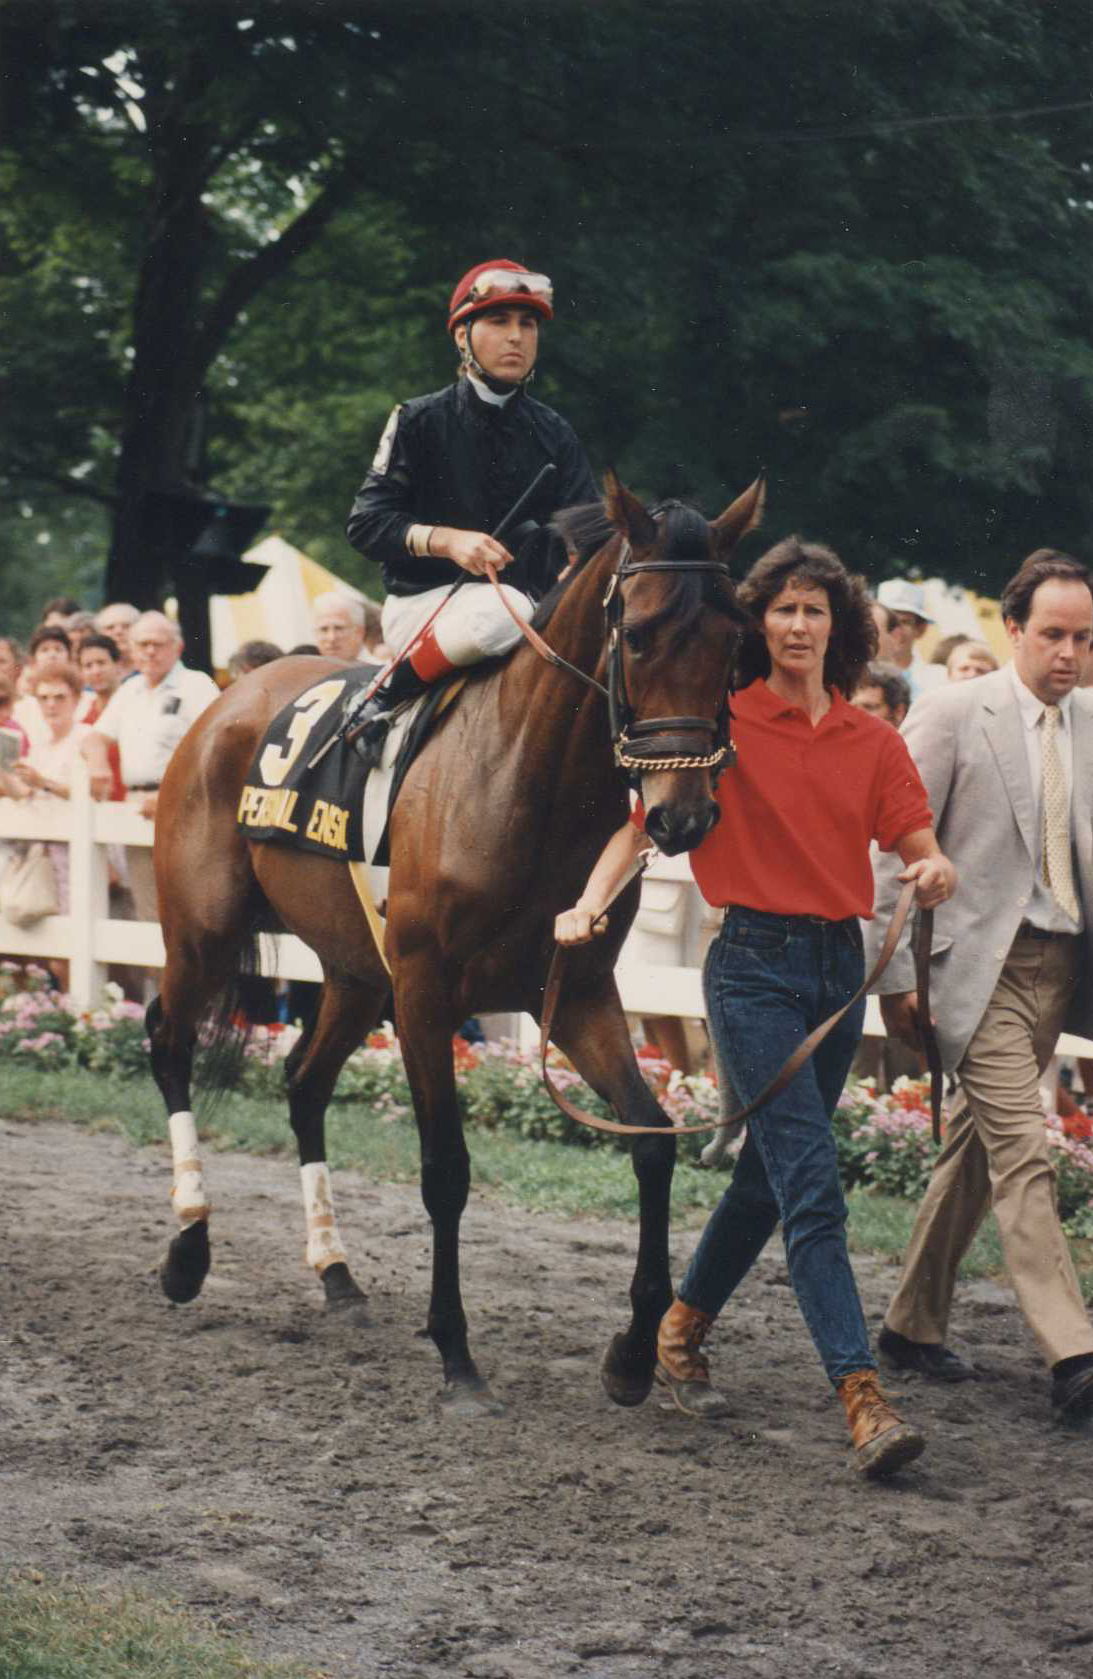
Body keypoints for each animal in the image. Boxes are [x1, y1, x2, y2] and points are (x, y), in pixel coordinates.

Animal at [145, 473, 762, 1417]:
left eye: (734, 642)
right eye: (640, 632)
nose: (681, 816)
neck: (525, 780)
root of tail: (232, 693)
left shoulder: (576, 991)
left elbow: (651, 1138)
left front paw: (629, 1353)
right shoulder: (427, 993)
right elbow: (445, 1167)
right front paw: (456, 1353)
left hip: (354, 971)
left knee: (302, 1082)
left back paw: (336, 1271)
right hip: (203, 933)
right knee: (170, 1042)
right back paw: (188, 1249)